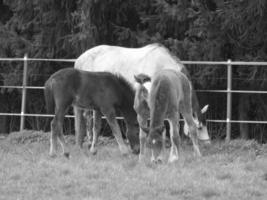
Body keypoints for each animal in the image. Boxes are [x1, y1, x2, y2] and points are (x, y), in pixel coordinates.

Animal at [74, 43, 210, 153]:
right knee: (83, 118)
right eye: (200, 127)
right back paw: (83, 144)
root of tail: (79, 59)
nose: (208, 144)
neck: (161, 64)